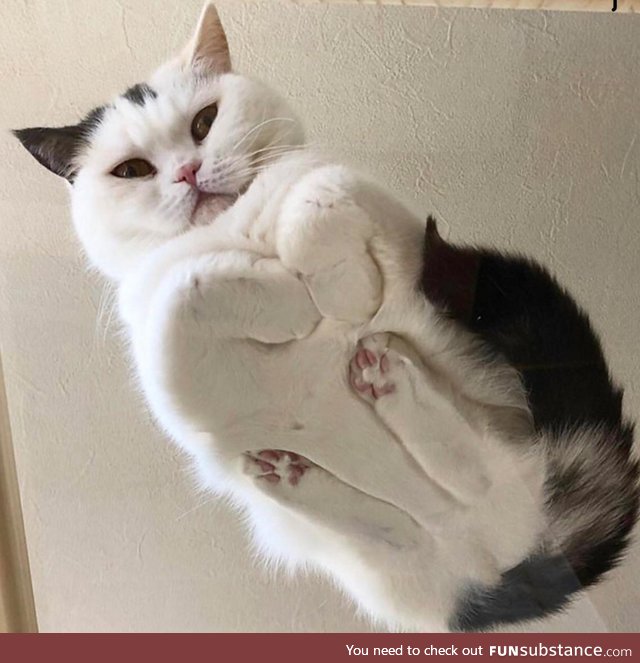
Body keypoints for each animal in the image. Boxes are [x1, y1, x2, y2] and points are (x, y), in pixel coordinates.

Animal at [12, 2, 636, 632]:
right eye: (132, 170)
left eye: (204, 122)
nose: (187, 171)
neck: (235, 231)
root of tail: (508, 558)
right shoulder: (166, 364)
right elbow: (185, 288)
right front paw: (287, 297)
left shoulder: (373, 204)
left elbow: (316, 195)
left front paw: (335, 291)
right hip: (352, 545)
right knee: (408, 516)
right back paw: (297, 471)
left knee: (468, 477)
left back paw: (386, 379)